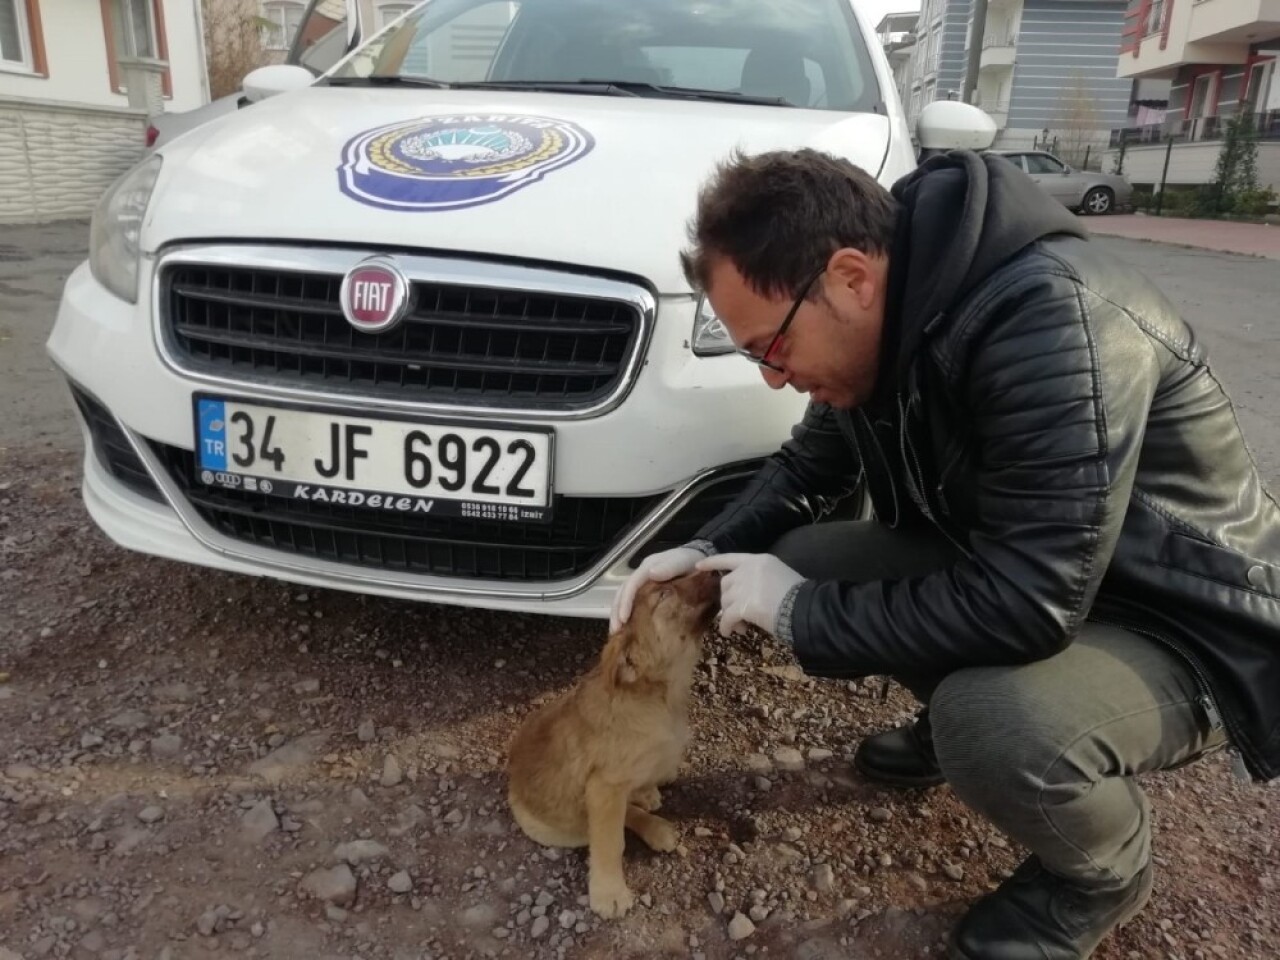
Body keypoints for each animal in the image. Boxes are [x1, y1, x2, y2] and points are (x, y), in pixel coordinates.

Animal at [501, 568, 721, 921]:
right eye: (664, 595)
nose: (716, 570)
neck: (657, 697)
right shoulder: (604, 786)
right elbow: (610, 842)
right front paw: (610, 892)